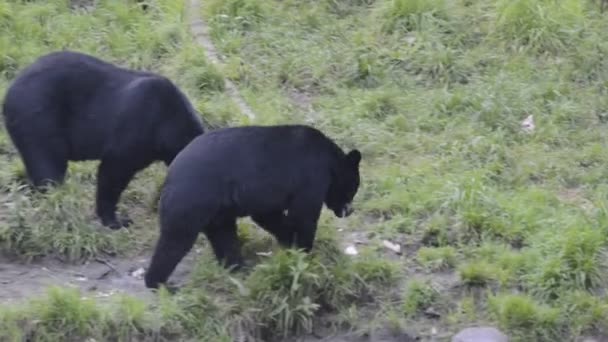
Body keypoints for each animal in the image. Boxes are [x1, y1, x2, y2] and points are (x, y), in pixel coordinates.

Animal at [1, 50, 207, 230]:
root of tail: (9, 93)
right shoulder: (137, 129)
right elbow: (113, 170)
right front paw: (117, 221)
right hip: (38, 119)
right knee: (48, 166)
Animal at [144, 124, 360, 290]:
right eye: (353, 188)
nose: (349, 211)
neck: (329, 163)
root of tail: (170, 174)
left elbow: (270, 215)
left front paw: (290, 242)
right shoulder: (310, 177)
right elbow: (304, 215)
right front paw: (303, 252)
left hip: (216, 211)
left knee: (224, 236)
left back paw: (238, 267)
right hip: (193, 199)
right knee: (176, 239)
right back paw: (159, 283)